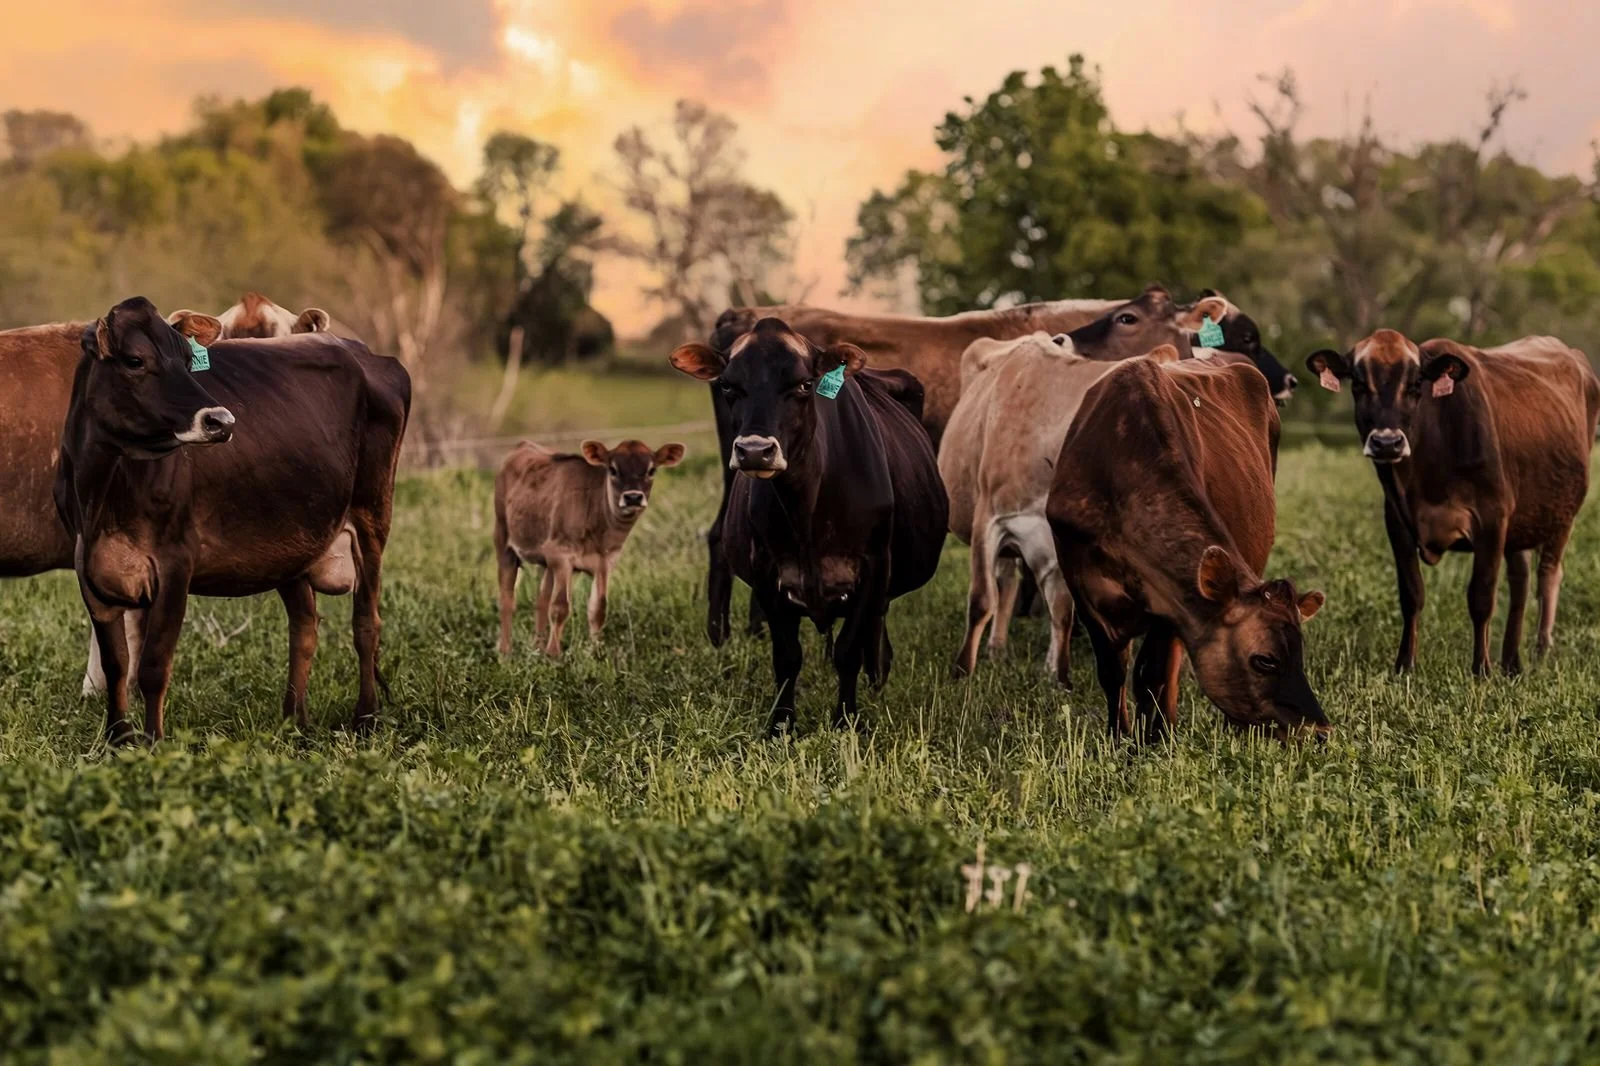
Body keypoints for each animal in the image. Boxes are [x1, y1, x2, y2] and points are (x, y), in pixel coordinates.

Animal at [55, 297, 410, 744]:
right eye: (135, 360)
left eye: (189, 361)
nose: (220, 420)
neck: (103, 493)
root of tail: (364, 352)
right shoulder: (89, 567)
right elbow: (116, 663)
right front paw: (118, 740)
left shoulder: (175, 564)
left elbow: (153, 665)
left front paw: (154, 744)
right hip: (291, 540)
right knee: (304, 626)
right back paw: (294, 720)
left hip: (372, 517)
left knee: (366, 623)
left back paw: (365, 718)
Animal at [494, 438, 685, 658]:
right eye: (612, 469)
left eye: (651, 470)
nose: (633, 497)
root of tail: (523, 444)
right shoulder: (562, 555)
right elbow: (560, 607)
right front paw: (554, 654)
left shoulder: (605, 562)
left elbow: (598, 609)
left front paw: (596, 652)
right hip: (503, 538)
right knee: (507, 600)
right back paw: (505, 652)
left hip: (546, 558)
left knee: (541, 599)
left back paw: (538, 648)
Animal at [668, 318, 948, 736]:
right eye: (729, 386)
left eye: (803, 384)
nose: (754, 451)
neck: (806, 514)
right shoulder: (766, 571)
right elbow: (787, 657)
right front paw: (781, 725)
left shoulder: (872, 564)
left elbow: (848, 650)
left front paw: (846, 720)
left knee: (876, 619)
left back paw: (878, 672)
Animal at [1046, 357, 1330, 740]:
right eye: (1265, 660)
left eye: (1300, 654)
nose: (1320, 730)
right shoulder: (1082, 584)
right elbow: (1112, 671)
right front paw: (1119, 737)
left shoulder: (1171, 598)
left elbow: (1151, 674)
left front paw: (1149, 741)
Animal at [1306, 331, 1600, 675]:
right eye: (1358, 384)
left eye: (1416, 384)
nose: (1387, 442)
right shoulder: (1396, 520)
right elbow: (1412, 594)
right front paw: (1405, 665)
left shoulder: (1492, 518)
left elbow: (1481, 596)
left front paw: (1481, 669)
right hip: (1522, 522)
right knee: (1521, 581)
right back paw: (1511, 662)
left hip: (1562, 515)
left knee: (1548, 576)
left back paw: (1540, 652)